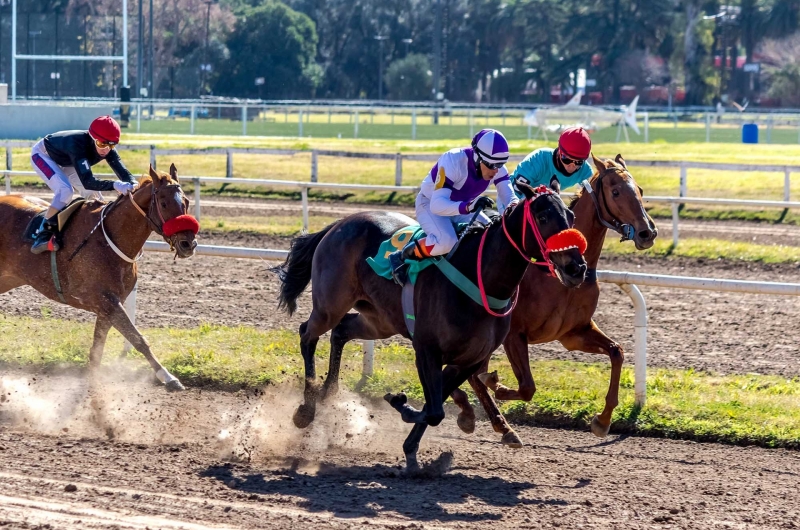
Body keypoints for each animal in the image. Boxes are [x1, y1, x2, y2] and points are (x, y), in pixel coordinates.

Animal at [0, 165, 199, 392]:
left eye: (186, 202)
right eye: (164, 203)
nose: (188, 244)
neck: (110, 239)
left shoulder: (108, 306)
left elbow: (97, 350)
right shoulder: (106, 301)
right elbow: (137, 338)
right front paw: (168, 377)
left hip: (6, 279)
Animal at [276, 183, 588, 470]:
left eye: (571, 215)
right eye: (544, 216)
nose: (576, 268)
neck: (481, 279)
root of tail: (339, 224)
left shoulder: (469, 360)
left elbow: (435, 406)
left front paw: (411, 445)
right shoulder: (427, 350)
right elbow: (435, 409)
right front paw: (400, 404)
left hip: (379, 320)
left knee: (341, 331)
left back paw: (329, 393)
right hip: (330, 304)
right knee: (308, 334)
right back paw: (306, 409)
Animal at [466, 154, 660, 446]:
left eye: (640, 190)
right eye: (615, 192)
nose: (647, 233)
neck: (557, 275)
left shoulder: (572, 333)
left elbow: (617, 352)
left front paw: (602, 421)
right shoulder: (514, 334)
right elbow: (525, 387)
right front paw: (496, 384)